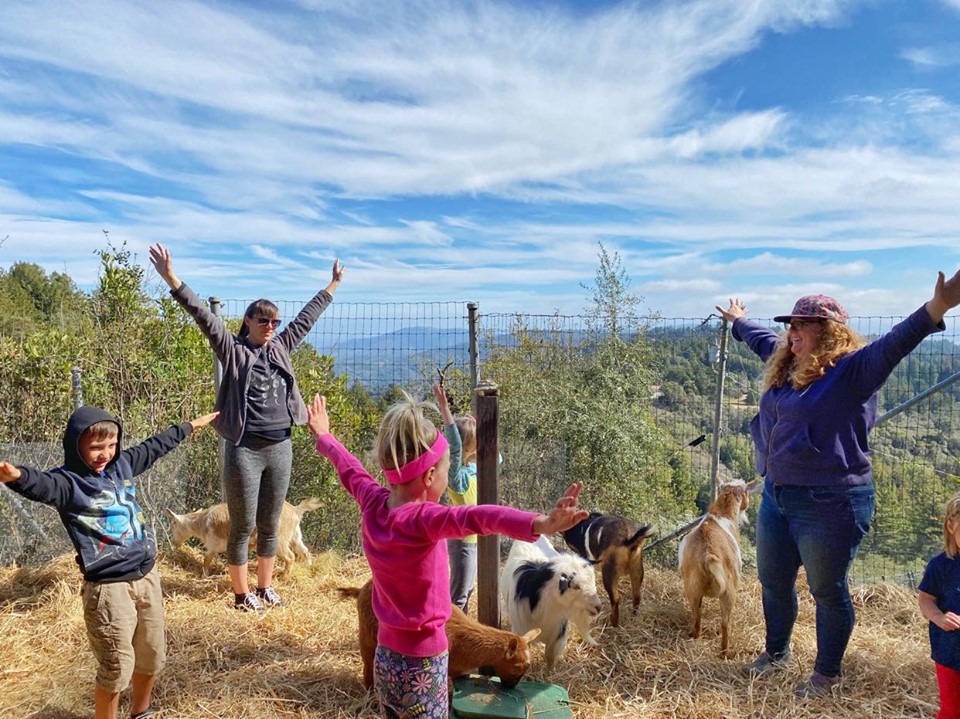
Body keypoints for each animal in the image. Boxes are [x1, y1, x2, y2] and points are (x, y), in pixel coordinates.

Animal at [168, 498, 322, 576]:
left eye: (173, 524)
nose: (173, 543)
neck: (203, 522)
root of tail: (296, 510)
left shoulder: (213, 544)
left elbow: (206, 560)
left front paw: (205, 576)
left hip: (279, 540)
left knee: (290, 556)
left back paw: (284, 578)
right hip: (295, 535)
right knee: (304, 551)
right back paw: (309, 568)